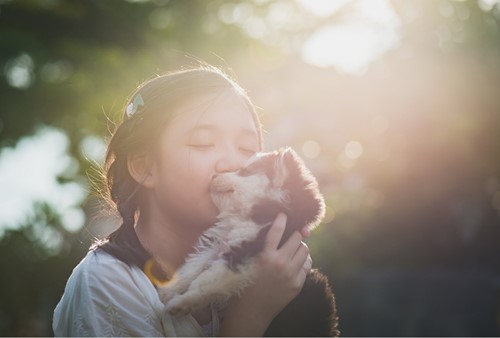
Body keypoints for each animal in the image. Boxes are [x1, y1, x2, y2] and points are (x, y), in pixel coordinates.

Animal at [159, 149, 340, 338]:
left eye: (244, 171)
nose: (214, 175)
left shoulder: (243, 256)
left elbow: (205, 282)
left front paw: (182, 302)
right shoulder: (218, 246)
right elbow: (192, 267)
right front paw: (170, 290)